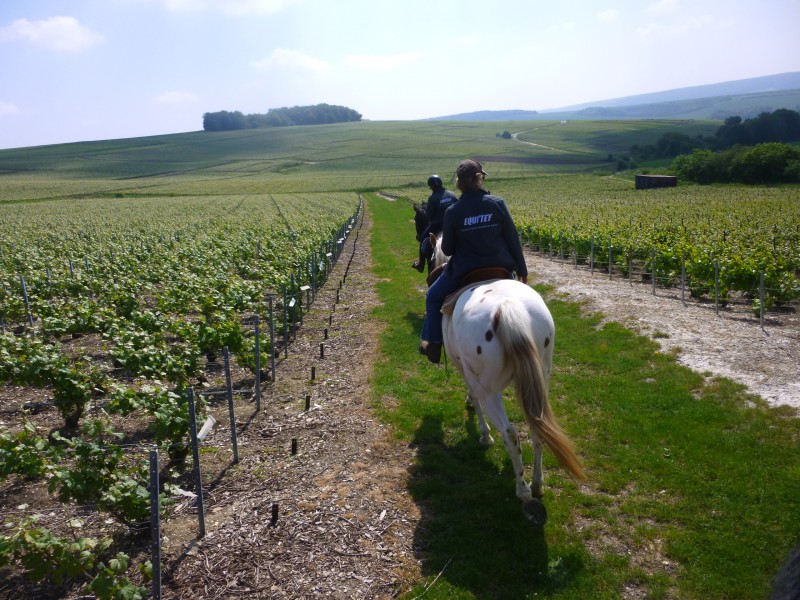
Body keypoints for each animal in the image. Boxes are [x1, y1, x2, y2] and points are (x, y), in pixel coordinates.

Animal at [429, 233, 585, 523]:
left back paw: (523, 491)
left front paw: (483, 435)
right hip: (541, 377)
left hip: (491, 389)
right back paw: (537, 483)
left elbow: (475, 401)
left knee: (511, 434)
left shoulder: (466, 371)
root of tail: (508, 310)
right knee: (537, 426)